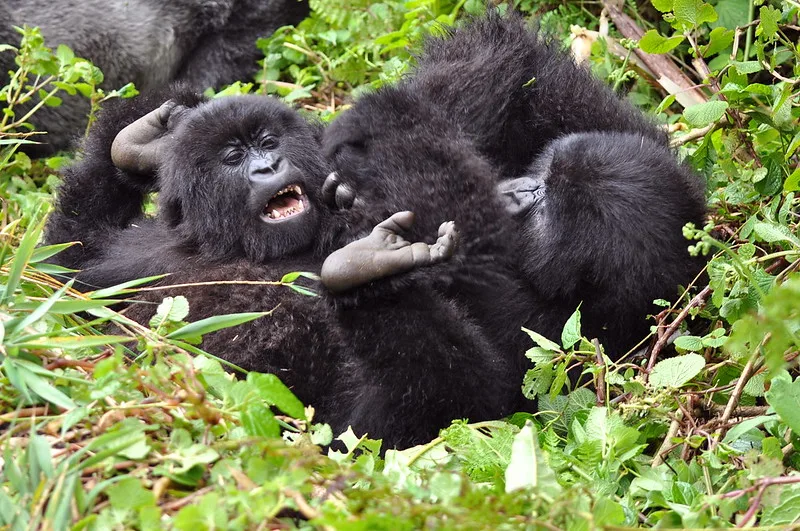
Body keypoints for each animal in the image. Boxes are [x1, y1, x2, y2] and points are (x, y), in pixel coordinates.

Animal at [42, 12, 708, 446]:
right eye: (238, 156)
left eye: (543, 205)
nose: (519, 190)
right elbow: (63, 276)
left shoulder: (550, 332)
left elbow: (466, 398)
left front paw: (370, 125)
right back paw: (135, 144)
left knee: (417, 407)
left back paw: (367, 280)